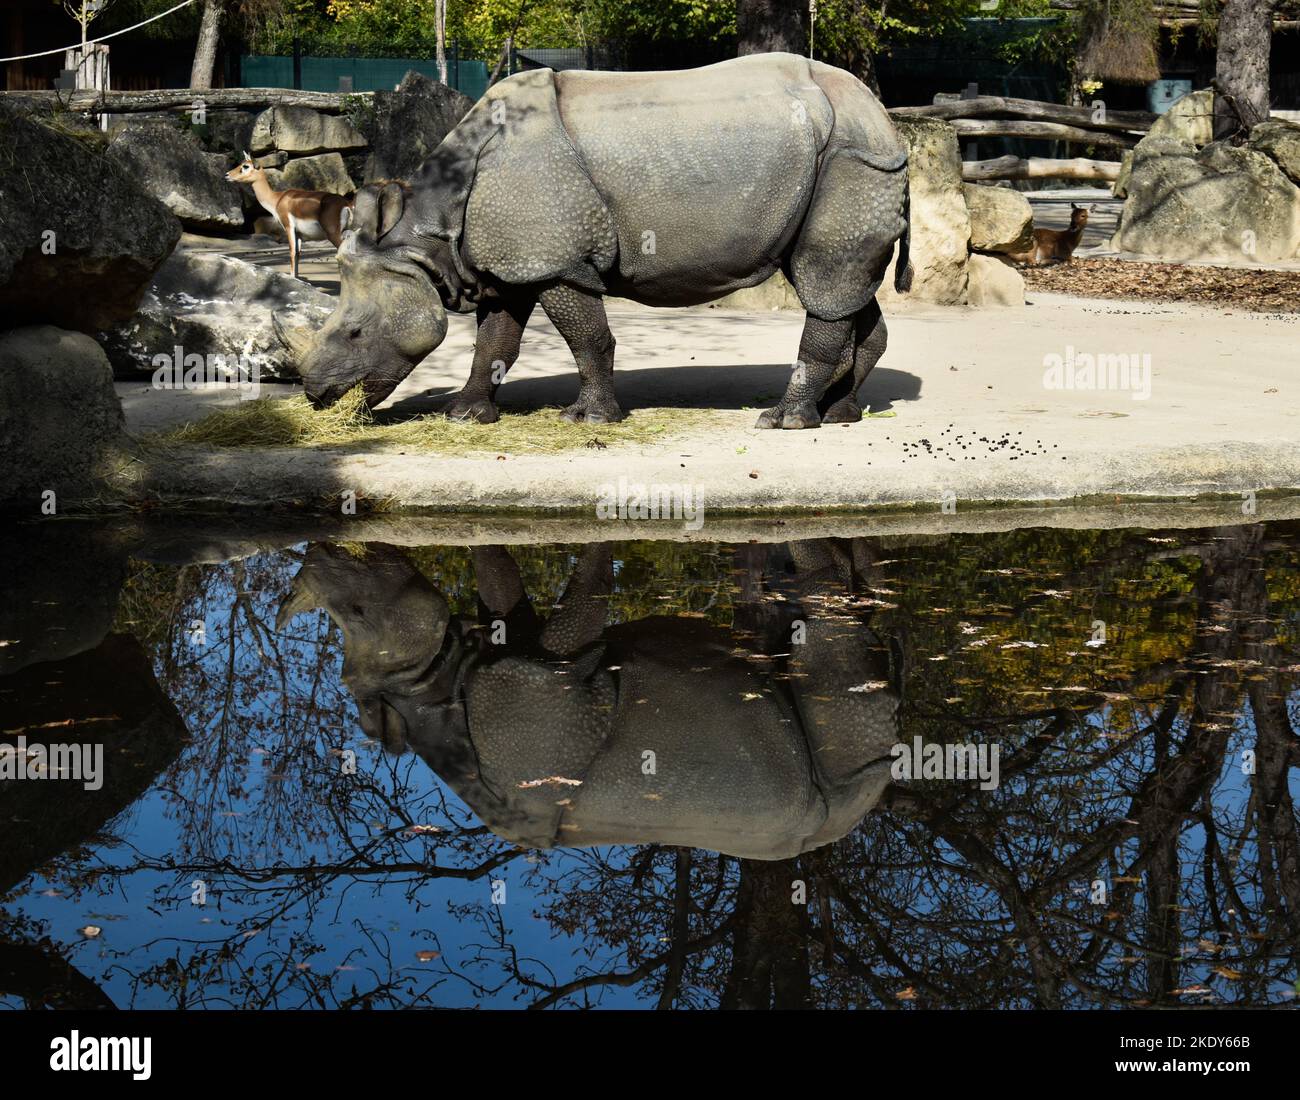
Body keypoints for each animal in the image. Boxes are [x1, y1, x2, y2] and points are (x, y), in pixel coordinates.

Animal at [276, 540, 902, 860]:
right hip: (836, 780)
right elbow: (567, 602)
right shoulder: (541, 681)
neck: (428, 693)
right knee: (824, 650)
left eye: (356, 612)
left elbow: (507, 582)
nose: (324, 546)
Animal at [278, 52, 911, 430]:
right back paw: (842, 415)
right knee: (845, 290)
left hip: (851, 157)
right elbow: (494, 343)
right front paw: (464, 416)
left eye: (356, 332)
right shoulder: (509, 264)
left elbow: (587, 337)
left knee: (823, 281)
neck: (426, 232)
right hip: (848, 155)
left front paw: (589, 419)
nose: (315, 394)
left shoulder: (553, 261)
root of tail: (887, 121)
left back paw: (784, 422)